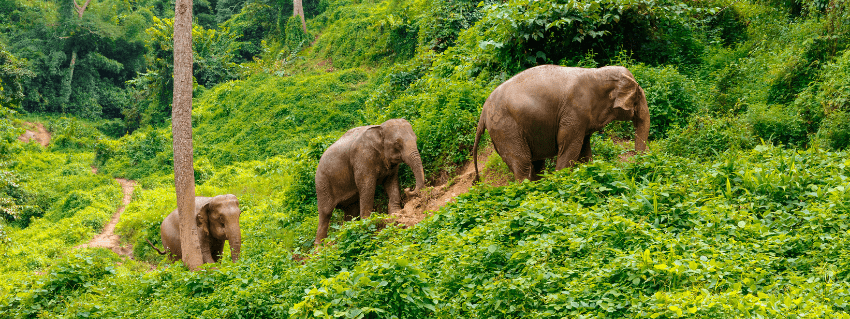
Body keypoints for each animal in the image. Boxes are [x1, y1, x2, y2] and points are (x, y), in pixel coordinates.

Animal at [470, 65, 648, 182]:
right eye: (638, 97)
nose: (635, 165)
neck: (597, 73)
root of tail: (483, 113)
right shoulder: (574, 112)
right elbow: (570, 147)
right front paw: (560, 179)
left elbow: (584, 149)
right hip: (506, 128)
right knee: (523, 163)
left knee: (534, 163)